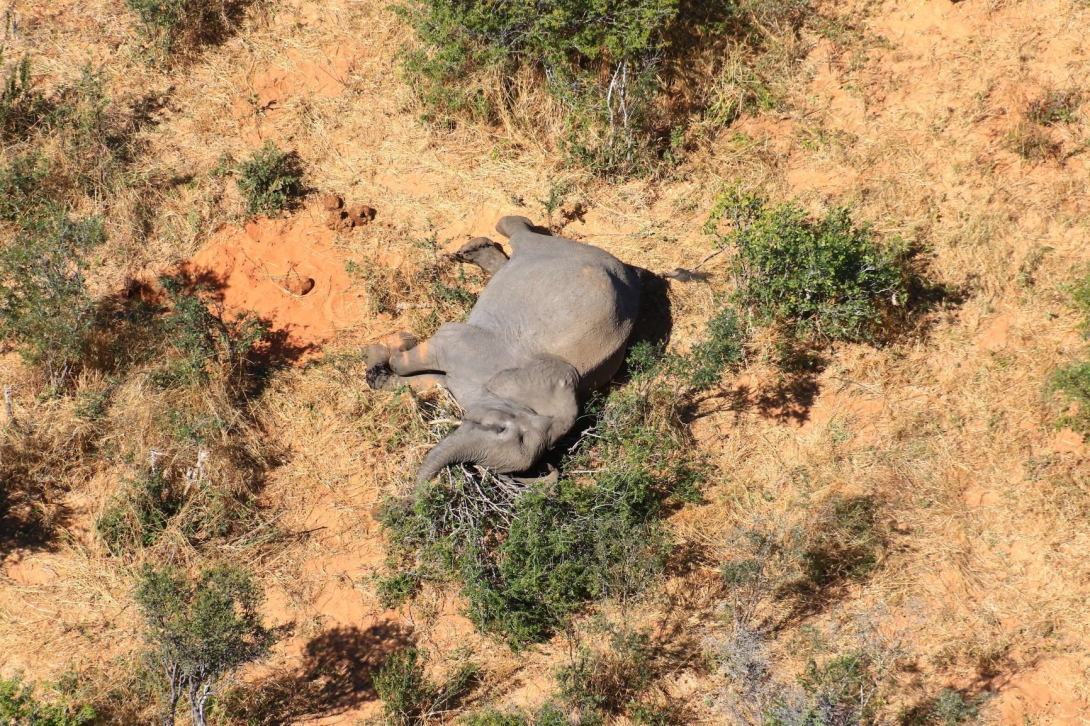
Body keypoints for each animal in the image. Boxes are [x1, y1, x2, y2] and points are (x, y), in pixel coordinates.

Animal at [361, 213, 640, 479]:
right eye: (500, 429)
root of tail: (626, 270)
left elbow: (429, 381)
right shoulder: (475, 351)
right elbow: (425, 355)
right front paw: (396, 342)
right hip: (562, 250)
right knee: (522, 238)